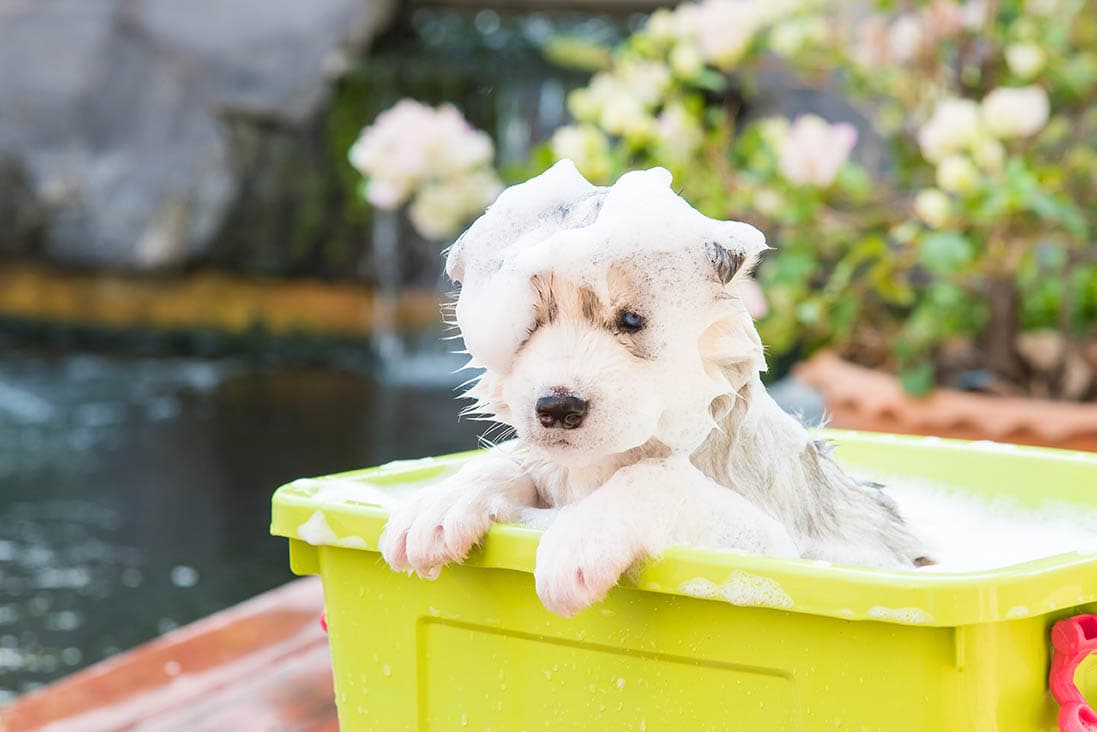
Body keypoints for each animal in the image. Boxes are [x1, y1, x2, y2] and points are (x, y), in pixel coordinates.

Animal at [381, 161, 930, 618]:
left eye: (632, 320)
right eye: (529, 323)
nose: (557, 407)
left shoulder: (772, 545)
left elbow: (655, 478)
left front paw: (579, 537)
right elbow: (515, 460)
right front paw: (438, 505)